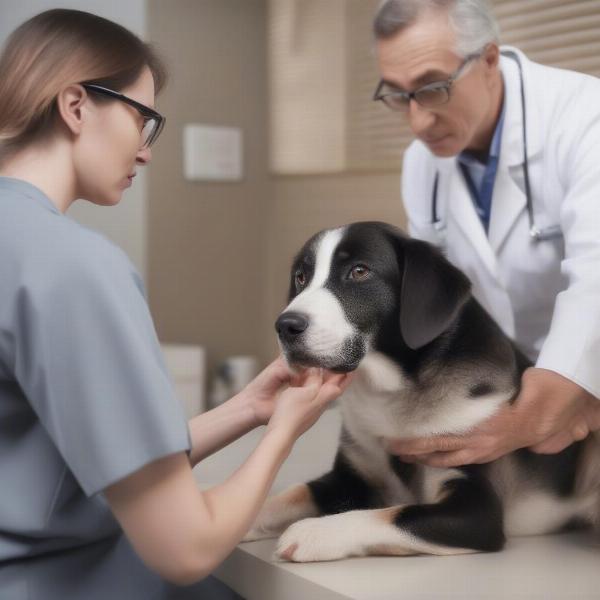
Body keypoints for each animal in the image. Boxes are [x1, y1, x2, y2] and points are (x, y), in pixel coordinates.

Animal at [241, 220, 596, 564]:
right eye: (301, 277)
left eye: (359, 271)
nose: (286, 326)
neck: (393, 391)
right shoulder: (349, 475)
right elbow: (289, 496)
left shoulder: (476, 510)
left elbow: (393, 515)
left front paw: (314, 532)